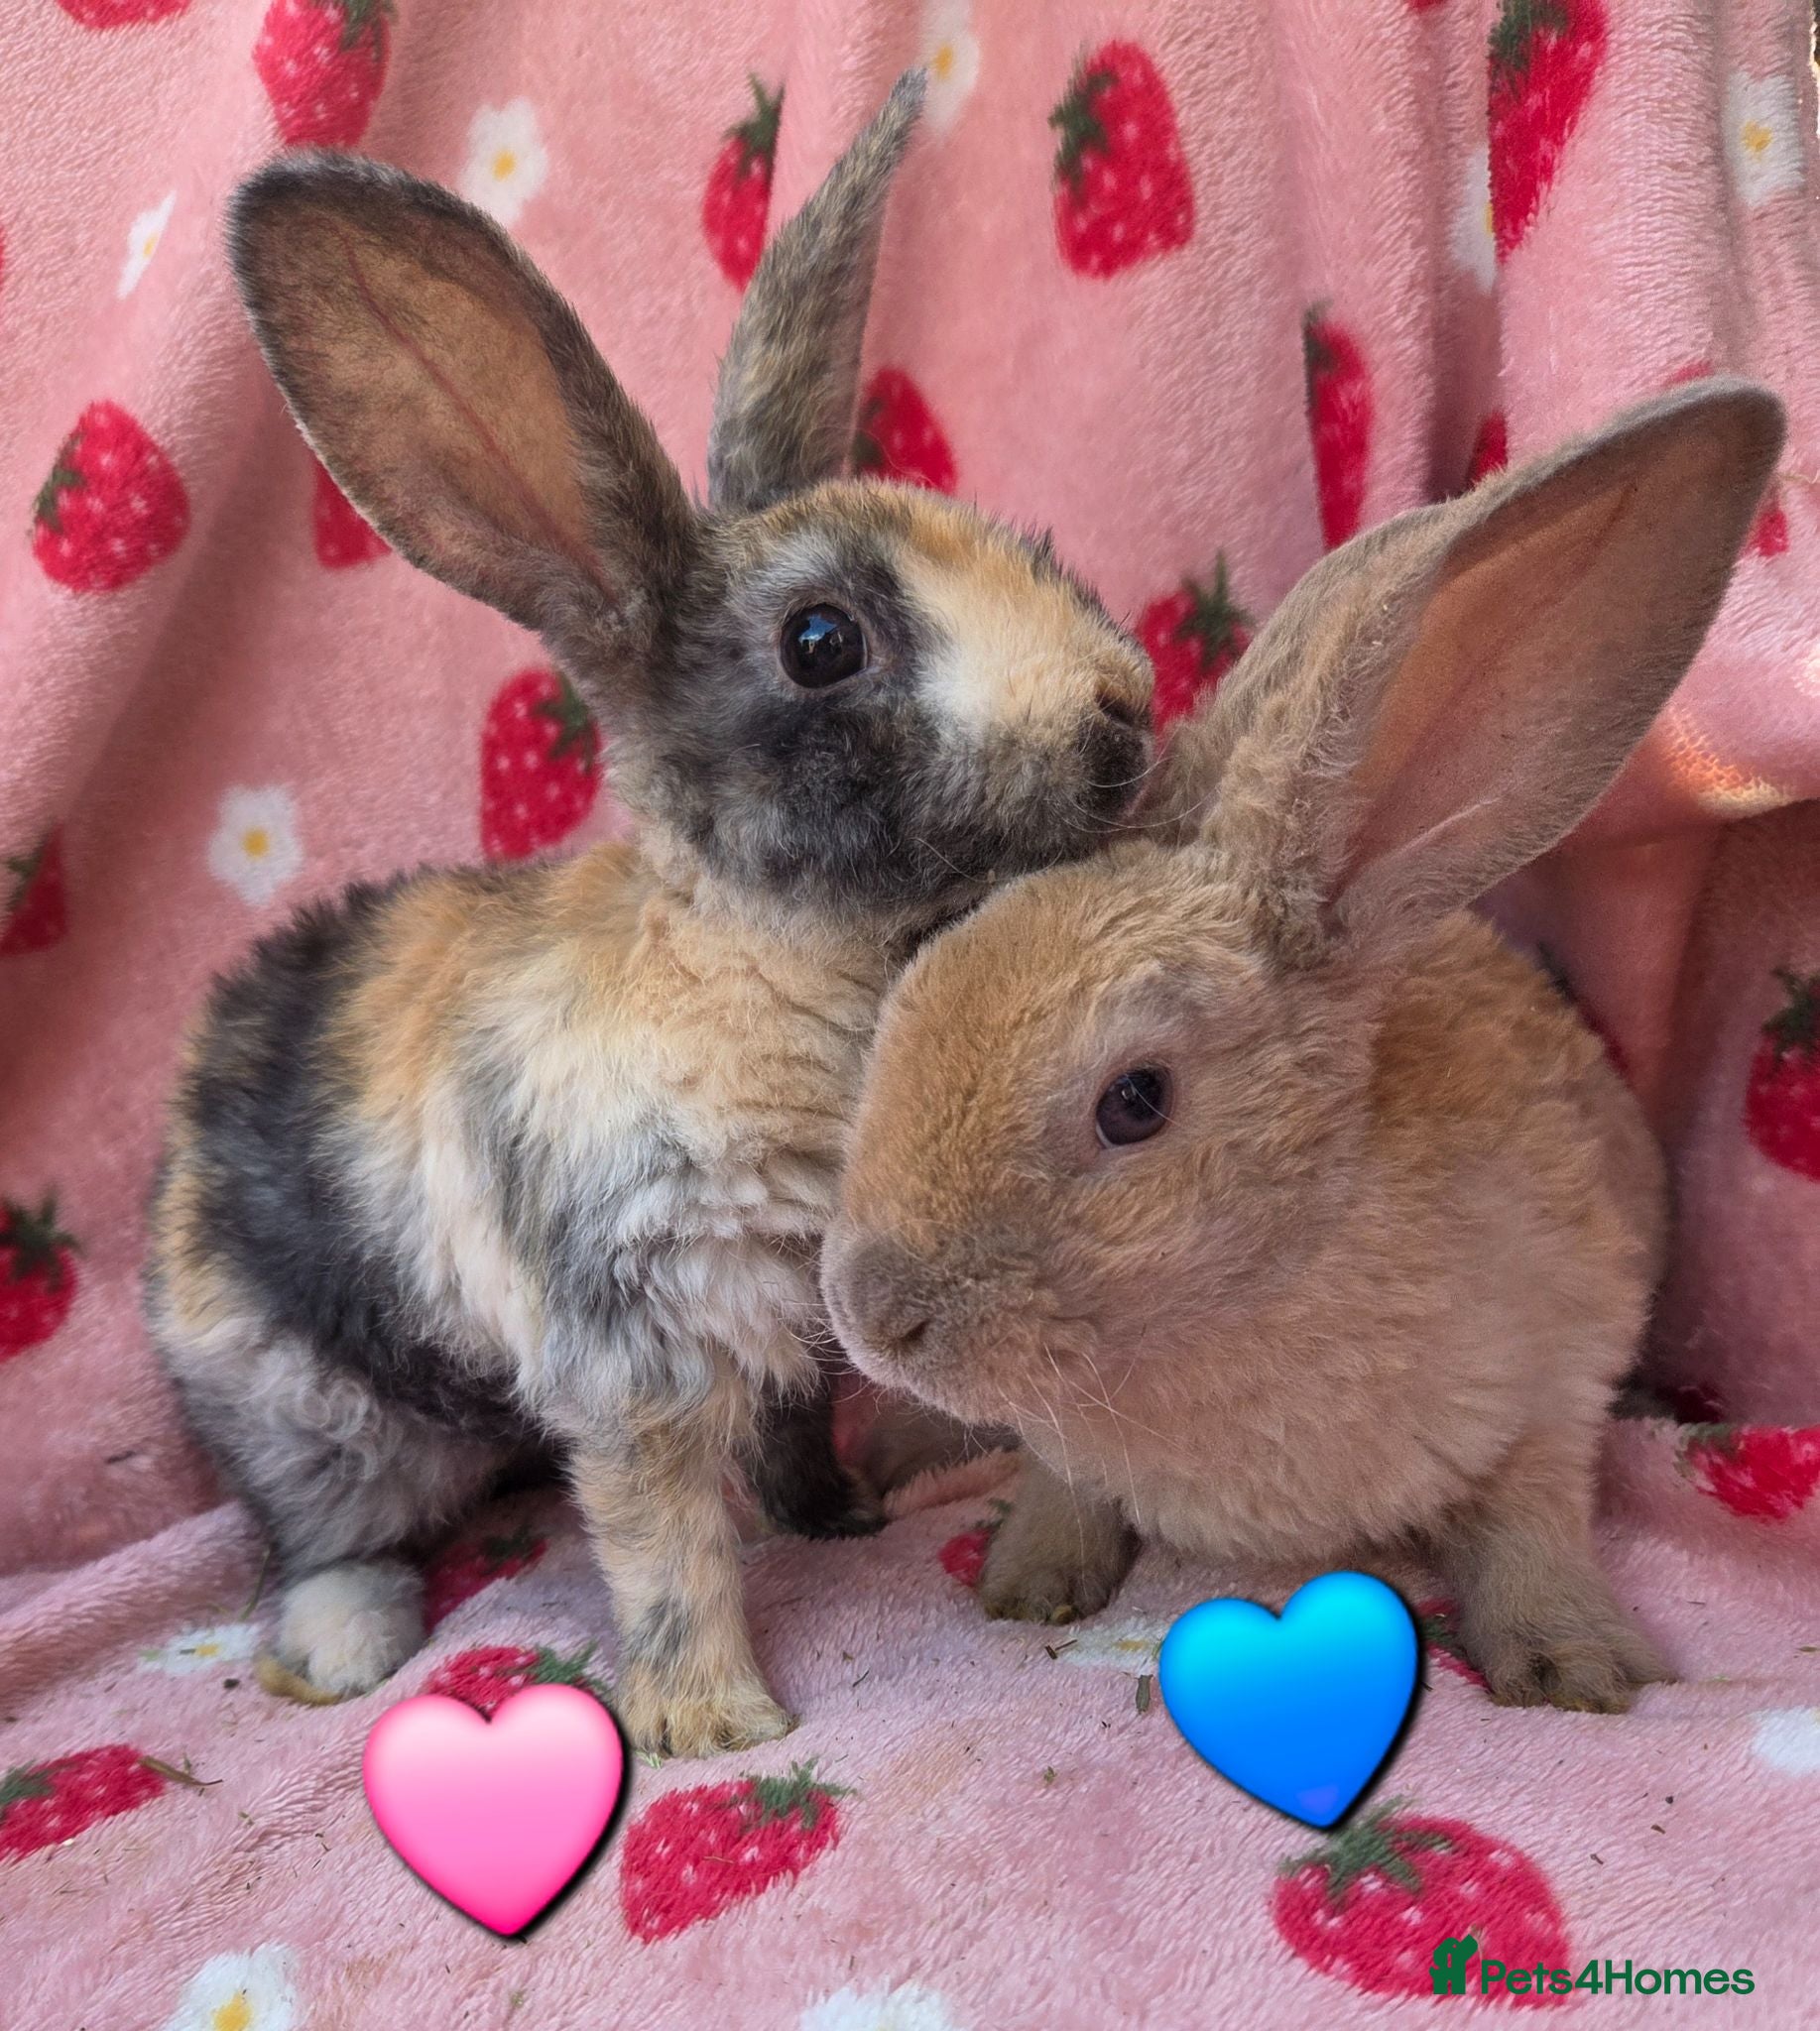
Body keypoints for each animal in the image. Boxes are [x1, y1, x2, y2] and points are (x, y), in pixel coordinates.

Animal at [144, 70, 1155, 1757]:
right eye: (821, 642)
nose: (1125, 717)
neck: (775, 959)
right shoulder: (628, 1342)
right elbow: (665, 1544)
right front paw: (714, 1725)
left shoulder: (808, 1314)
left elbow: (798, 1434)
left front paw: (837, 1520)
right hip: (301, 1401)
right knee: (313, 1529)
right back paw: (344, 1648)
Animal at [822, 379, 1785, 1714]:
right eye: (912, 978)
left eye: (1135, 1101)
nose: (872, 1312)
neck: (1278, 1261)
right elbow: (1064, 1484)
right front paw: (1027, 1583)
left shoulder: (1557, 1371)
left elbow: (1534, 1516)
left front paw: (1574, 1667)